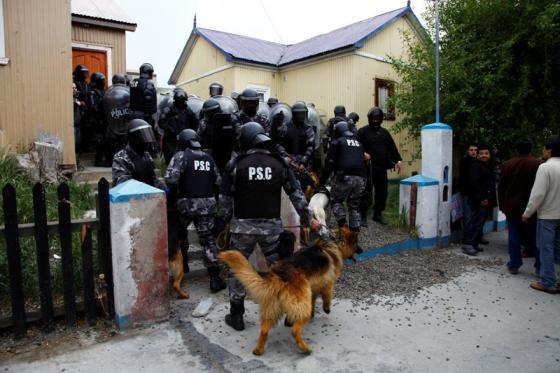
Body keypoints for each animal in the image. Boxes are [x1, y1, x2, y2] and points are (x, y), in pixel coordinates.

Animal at [217, 227, 360, 354]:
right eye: (355, 243)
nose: (361, 250)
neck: (332, 243)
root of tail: (279, 277)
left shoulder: (312, 289)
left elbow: (314, 299)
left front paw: (314, 312)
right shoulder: (328, 283)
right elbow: (327, 296)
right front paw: (326, 309)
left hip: (272, 309)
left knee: (264, 330)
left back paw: (259, 350)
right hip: (300, 306)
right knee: (295, 331)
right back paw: (304, 348)